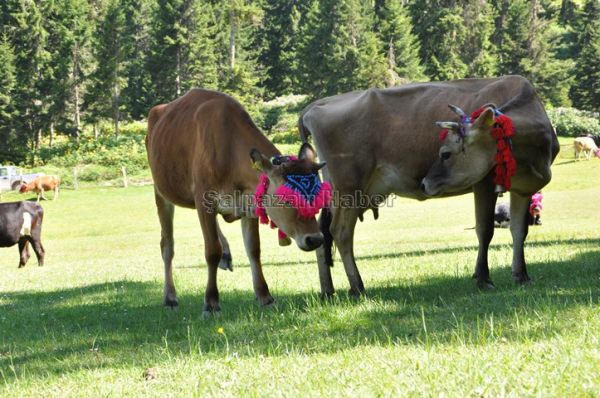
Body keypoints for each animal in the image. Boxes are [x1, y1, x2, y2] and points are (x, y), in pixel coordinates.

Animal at [148, 89, 328, 314]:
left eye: (319, 198)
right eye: (288, 198)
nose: (316, 239)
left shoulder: (248, 203)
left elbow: (254, 249)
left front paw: (264, 295)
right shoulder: (204, 200)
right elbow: (211, 250)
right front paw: (211, 302)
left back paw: (226, 254)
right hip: (161, 191)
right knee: (167, 245)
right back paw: (170, 296)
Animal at [302, 76, 560, 296]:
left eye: (445, 153)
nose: (425, 182)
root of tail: (315, 105)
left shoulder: (523, 188)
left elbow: (519, 230)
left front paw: (521, 275)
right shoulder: (483, 182)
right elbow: (485, 230)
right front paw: (483, 278)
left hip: (345, 189)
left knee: (322, 230)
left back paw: (328, 291)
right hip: (349, 185)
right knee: (341, 231)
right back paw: (357, 287)